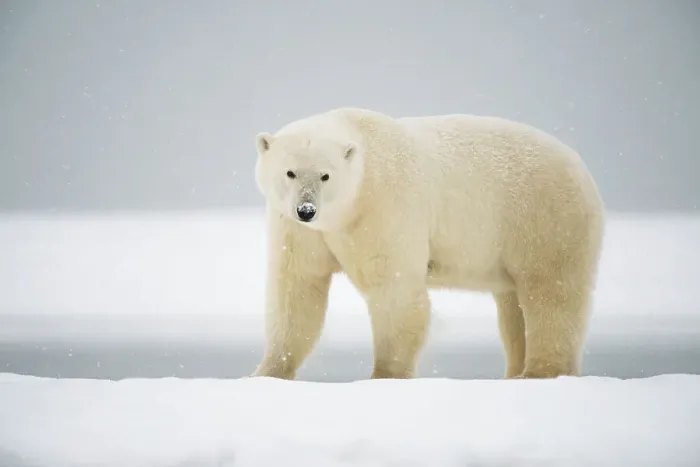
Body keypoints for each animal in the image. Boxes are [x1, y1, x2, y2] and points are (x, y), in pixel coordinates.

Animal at [251, 107, 604, 381]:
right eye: (290, 172)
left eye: (325, 175)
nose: (306, 210)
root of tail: (581, 166)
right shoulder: (297, 230)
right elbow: (297, 289)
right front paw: (267, 372)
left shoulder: (385, 207)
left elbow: (394, 290)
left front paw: (385, 375)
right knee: (513, 308)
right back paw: (516, 371)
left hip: (546, 219)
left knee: (551, 292)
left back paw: (540, 372)